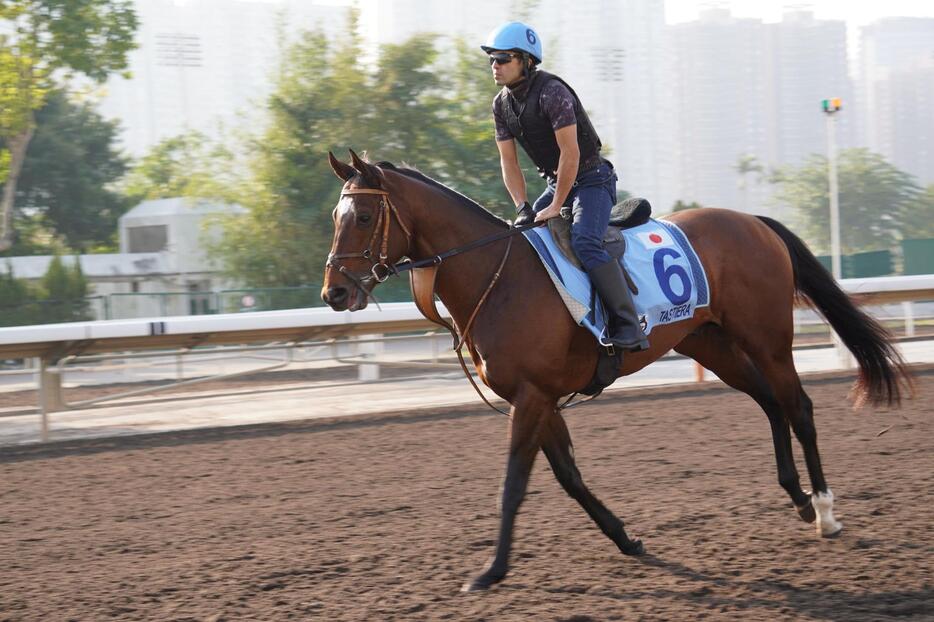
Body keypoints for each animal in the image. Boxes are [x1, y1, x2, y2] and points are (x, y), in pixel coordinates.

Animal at [324, 151, 916, 596]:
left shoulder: (531, 397)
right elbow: (569, 476)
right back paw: (797, 498)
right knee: (771, 404)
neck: (499, 277)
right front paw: (626, 538)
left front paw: (490, 572)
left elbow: (513, 486)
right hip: (713, 345)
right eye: (336, 217)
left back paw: (825, 511)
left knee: (799, 408)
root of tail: (752, 221)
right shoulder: (538, 397)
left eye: (362, 218)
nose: (335, 293)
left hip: (768, 340)